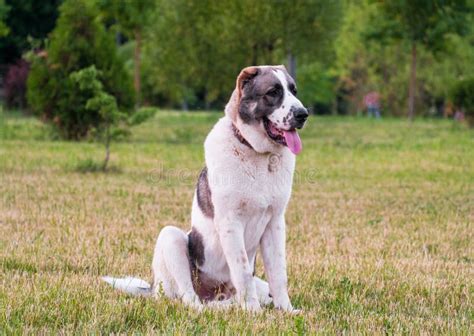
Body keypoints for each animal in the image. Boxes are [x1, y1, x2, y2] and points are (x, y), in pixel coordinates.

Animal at [102, 65, 310, 312]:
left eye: (293, 90)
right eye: (273, 92)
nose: (303, 114)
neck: (256, 153)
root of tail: (152, 288)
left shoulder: (275, 223)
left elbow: (278, 273)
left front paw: (286, 310)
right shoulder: (230, 223)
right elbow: (242, 271)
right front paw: (252, 311)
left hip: (255, 284)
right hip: (171, 238)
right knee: (189, 299)